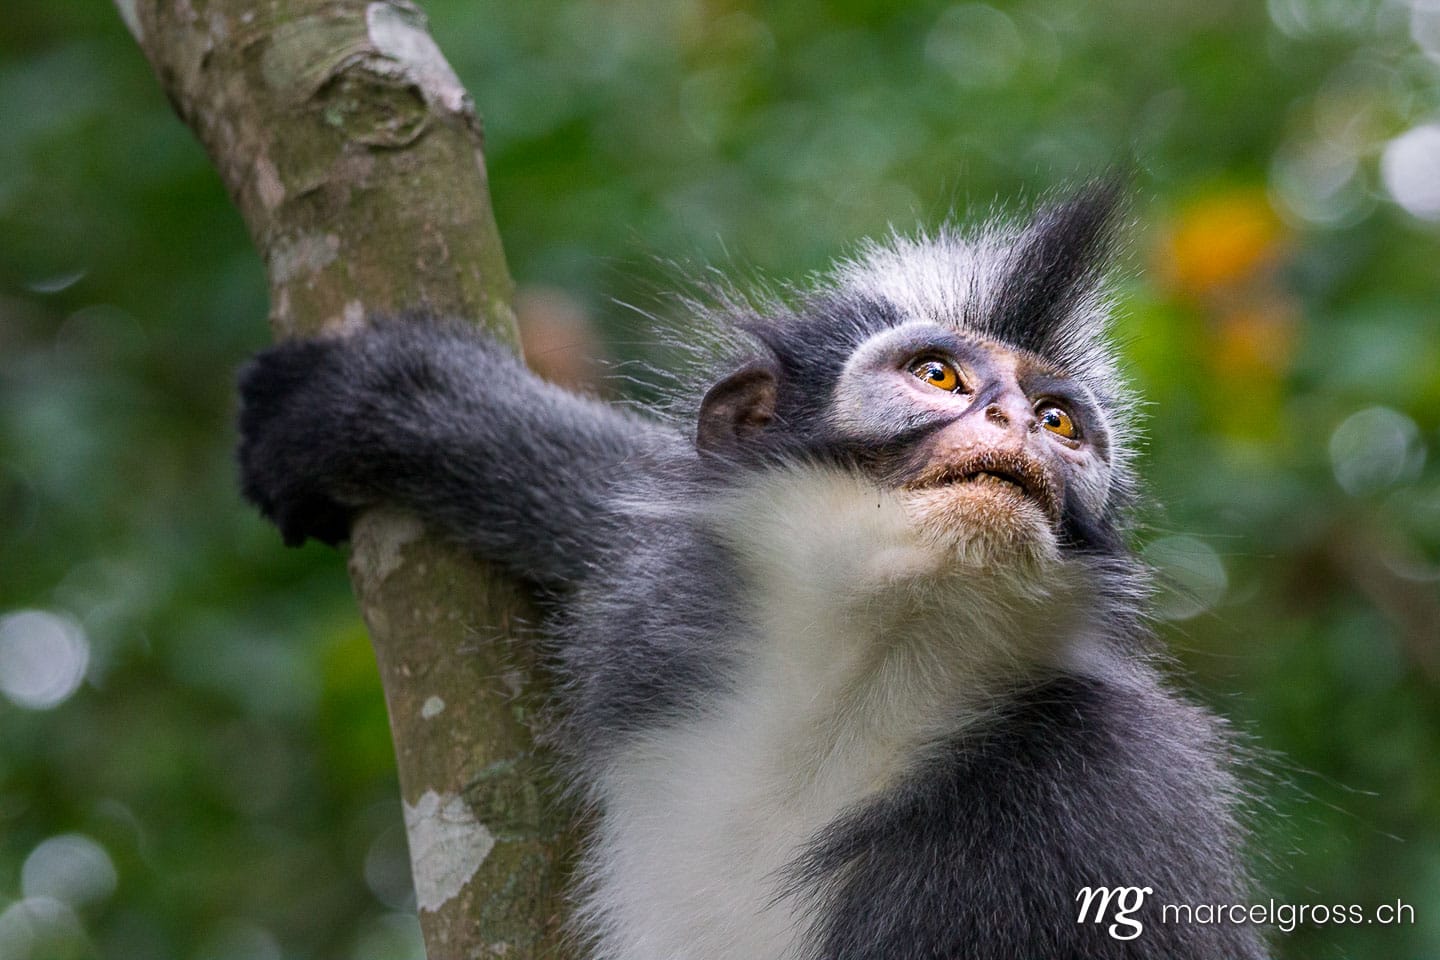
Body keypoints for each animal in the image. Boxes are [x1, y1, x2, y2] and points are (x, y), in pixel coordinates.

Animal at [237, 183, 1267, 959]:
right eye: (939, 376)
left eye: (1058, 423)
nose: (1017, 425)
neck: (863, 683)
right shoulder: (656, 591)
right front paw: (389, 404)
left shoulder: (1112, 800)